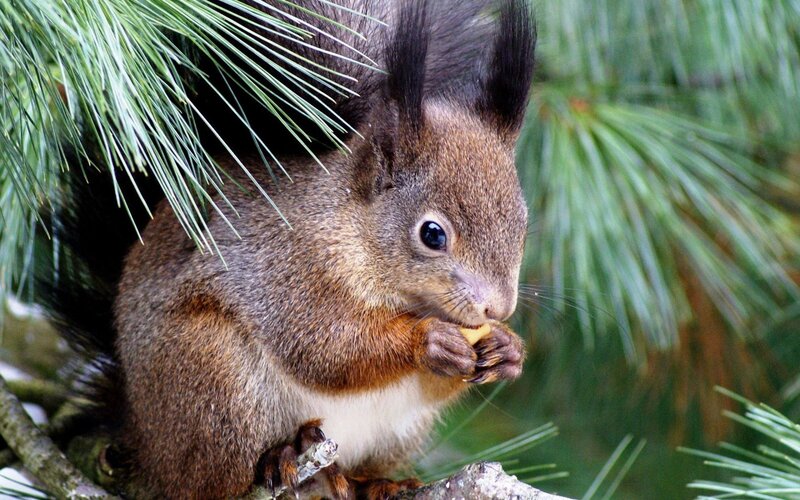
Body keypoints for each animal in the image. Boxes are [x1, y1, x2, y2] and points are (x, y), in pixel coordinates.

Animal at [41, 0, 536, 498]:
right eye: (432, 234)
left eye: (523, 223)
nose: (499, 309)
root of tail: (142, 440)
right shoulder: (290, 270)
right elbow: (326, 348)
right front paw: (428, 339)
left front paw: (507, 350)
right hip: (214, 380)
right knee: (216, 479)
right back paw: (279, 458)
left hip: (398, 431)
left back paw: (375, 481)